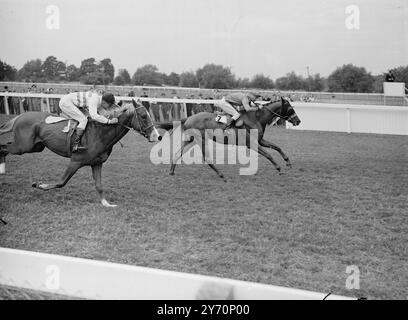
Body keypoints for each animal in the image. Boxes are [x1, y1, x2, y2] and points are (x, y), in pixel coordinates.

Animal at [0, 99, 162, 206]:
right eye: (143, 116)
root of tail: (21, 116)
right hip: (23, 147)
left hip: (35, 147)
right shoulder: (75, 161)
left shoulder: (97, 163)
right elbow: (61, 182)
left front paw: (106, 203)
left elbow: (99, 185)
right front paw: (39, 185)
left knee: (4, 148)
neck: (100, 133)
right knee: (3, 147)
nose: (157, 136)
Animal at [158, 97, 302, 180]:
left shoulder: (260, 140)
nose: (298, 121)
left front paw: (287, 162)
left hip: (191, 139)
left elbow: (277, 147)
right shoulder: (251, 143)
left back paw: (171, 172)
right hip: (201, 139)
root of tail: (188, 118)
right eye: (290, 108)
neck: (256, 118)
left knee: (178, 153)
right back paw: (221, 175)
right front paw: (279, 169)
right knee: (207, 158)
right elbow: (268, 155)